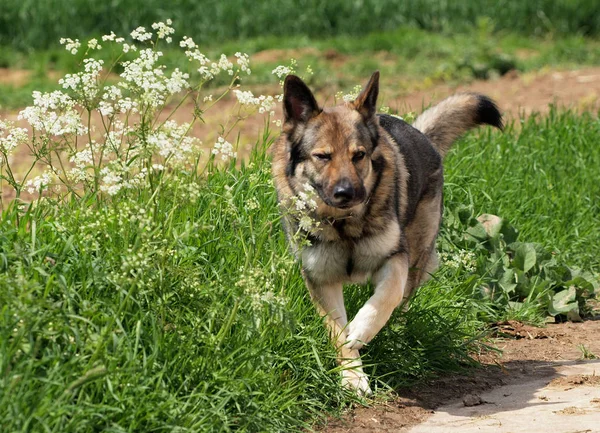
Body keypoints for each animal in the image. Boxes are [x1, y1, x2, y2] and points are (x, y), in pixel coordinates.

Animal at [272, 71, 502, 394]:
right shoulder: (321, 279)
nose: (347, 193)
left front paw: (361, 330)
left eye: (359, 155)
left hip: (417, 256)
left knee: (403, 302)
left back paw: (395, 335)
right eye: (322, 156)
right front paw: (352, 376)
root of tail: (422, 136)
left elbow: (385, 299)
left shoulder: (395, 258)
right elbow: (337, 334)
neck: (344, 226)